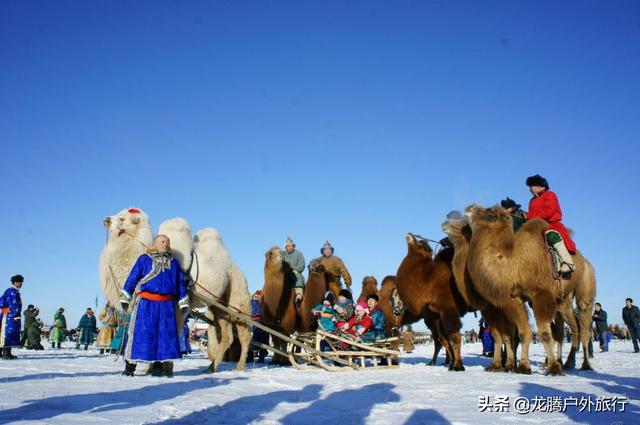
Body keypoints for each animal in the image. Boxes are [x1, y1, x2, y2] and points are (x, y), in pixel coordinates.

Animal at [392, 234, 468, 370]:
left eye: (421, 244)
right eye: (393, 298)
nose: (396, 311)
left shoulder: (446, 310)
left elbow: (451, 338)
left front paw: (456, 366)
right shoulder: (436, 317)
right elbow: (444, 340)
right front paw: (449, 362)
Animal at [464, 205, 596, 374]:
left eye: (489, 212)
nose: (470, 207)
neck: (518, 263)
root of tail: (586, 262)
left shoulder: (541, 296)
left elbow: (544, 333)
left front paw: (553, 369)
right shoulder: (516, 298)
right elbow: (522, 333)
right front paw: (523, 367)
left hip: (585, 290)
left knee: (584, 328)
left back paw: (585, 364)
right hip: (563, 301)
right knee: (570, 328)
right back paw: (567, 362)